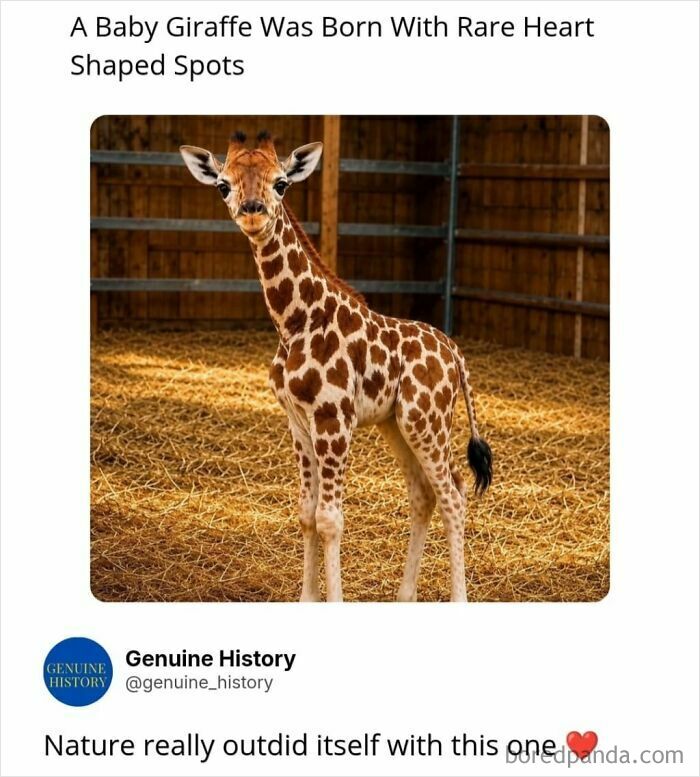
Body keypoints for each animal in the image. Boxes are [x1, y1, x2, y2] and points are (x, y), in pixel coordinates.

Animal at [180, 131, 492, 602]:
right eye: (222, 185)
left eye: (281, 183)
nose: (252, 212)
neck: (295, 322)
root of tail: (455, 353)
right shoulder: (297, 421)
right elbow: (306, 513)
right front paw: (308, 598)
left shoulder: (334, 418)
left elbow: (330, 519)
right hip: (398, 425)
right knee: (423, 496)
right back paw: (404, 597)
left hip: (427, 421)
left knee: (453, 495)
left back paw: (457, 598)